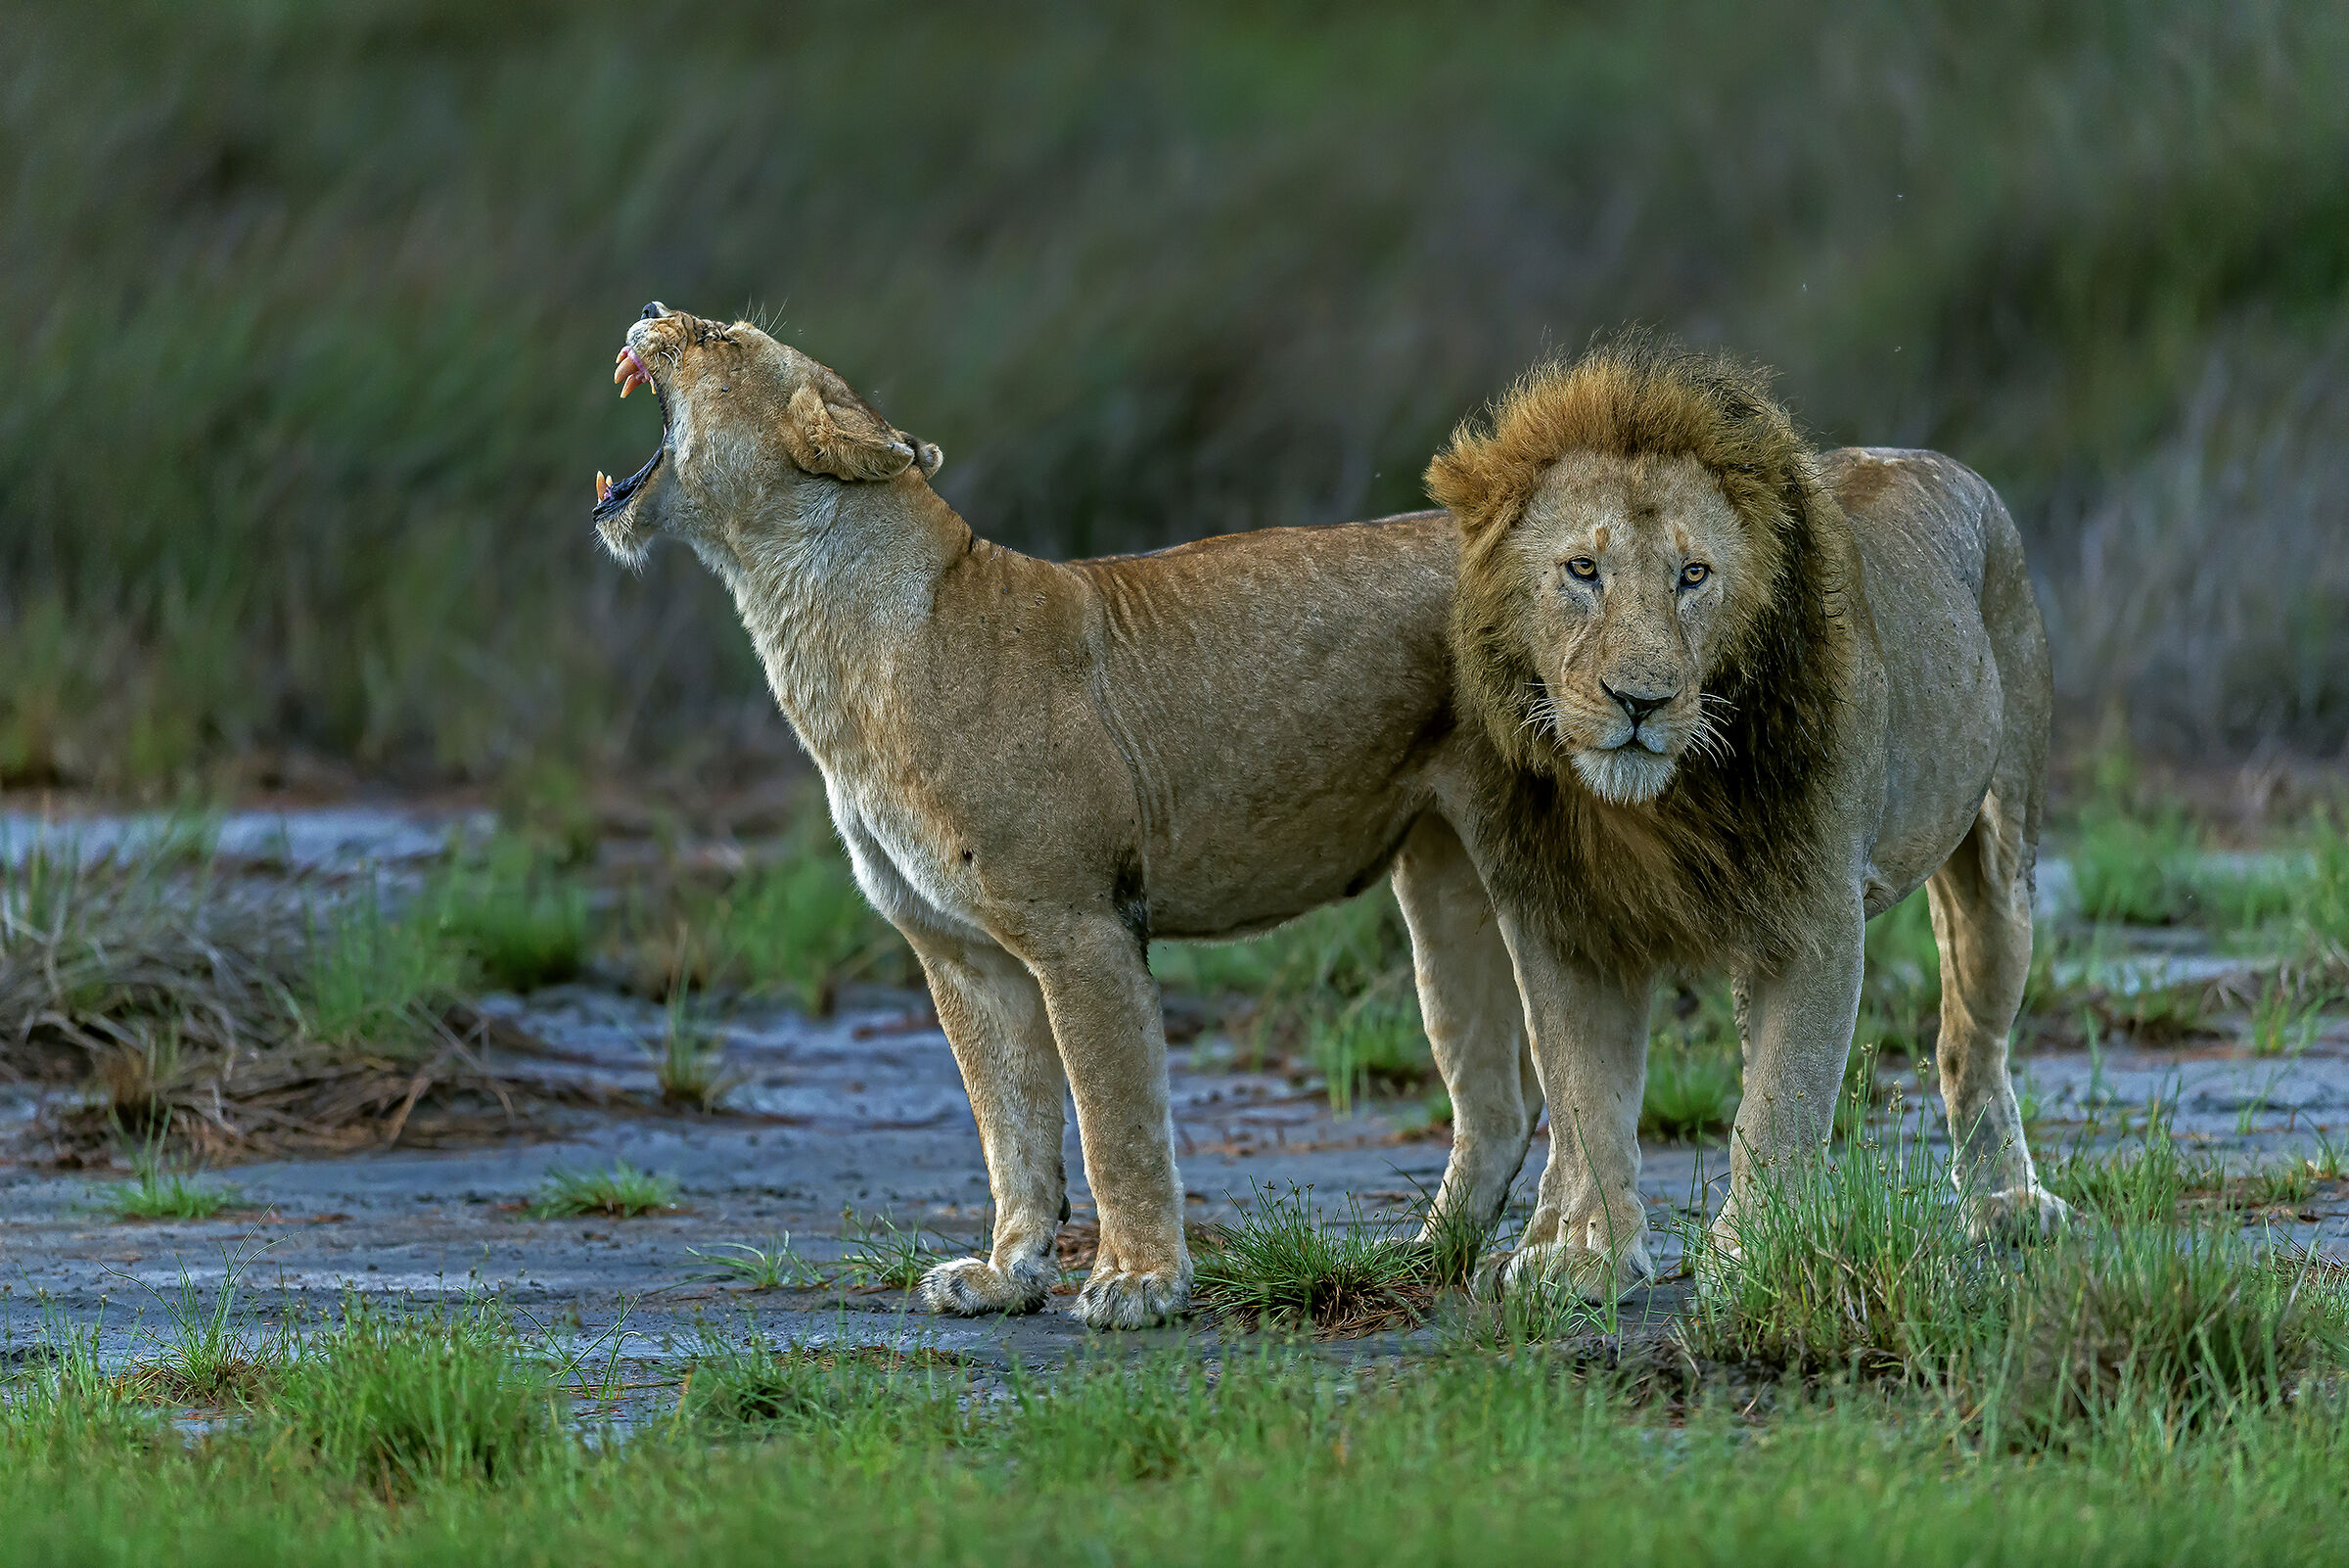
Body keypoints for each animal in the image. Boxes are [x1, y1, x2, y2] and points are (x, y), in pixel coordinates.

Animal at [592, 302, 1554, 1328]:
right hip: (1441, 879)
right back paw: (1428, 1258)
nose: (648, 312)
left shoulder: (1081, 924)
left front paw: (1139, 1283)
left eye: (723, 340)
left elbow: (1112, 1117)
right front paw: (1003, 1274)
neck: (821, 637)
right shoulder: (960, 951)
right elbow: (1010, 1124)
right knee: (1499, 1101)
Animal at [1422, 335, 2072, 1299]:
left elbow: (1783, 1096)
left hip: (2002, 858)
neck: (1654, 809)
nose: (1641, 701)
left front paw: (1759, 1248)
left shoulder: (1816, 919)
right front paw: (1585, 1257)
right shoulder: (1566, 930)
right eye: (1583, 570)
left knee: (1972, 1040)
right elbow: (1582, 1098)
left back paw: (2007, 1205)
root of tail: (1953, 466)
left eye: (1693, 576)